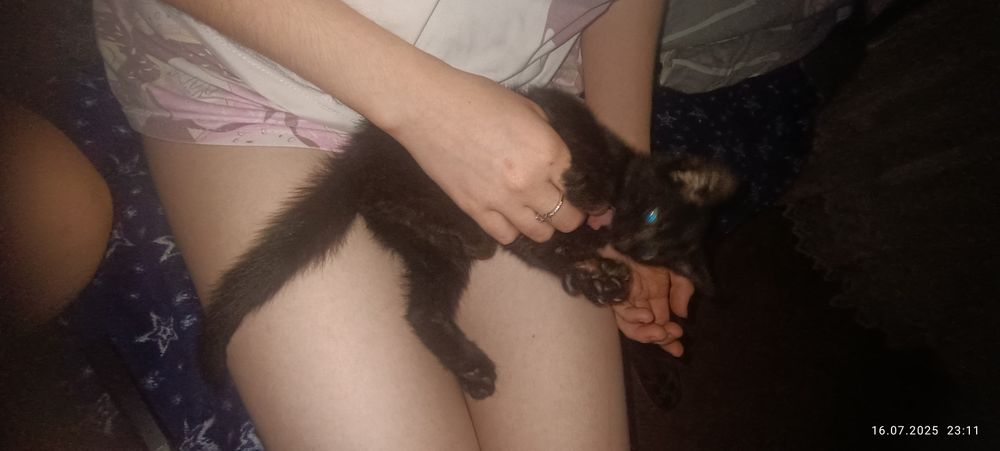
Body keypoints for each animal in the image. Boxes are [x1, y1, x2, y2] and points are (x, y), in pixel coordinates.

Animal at [199, 88, 736, 399]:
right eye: (650, 214)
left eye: (650, 252)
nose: (624, 238)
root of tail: (357, 167)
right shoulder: (551, 111)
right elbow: (578, 130)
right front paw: (592, 187)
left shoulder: (534, 233)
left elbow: (557, 253)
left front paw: (599, 281)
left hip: (428, 247)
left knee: (423, 311)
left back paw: (472, 365)